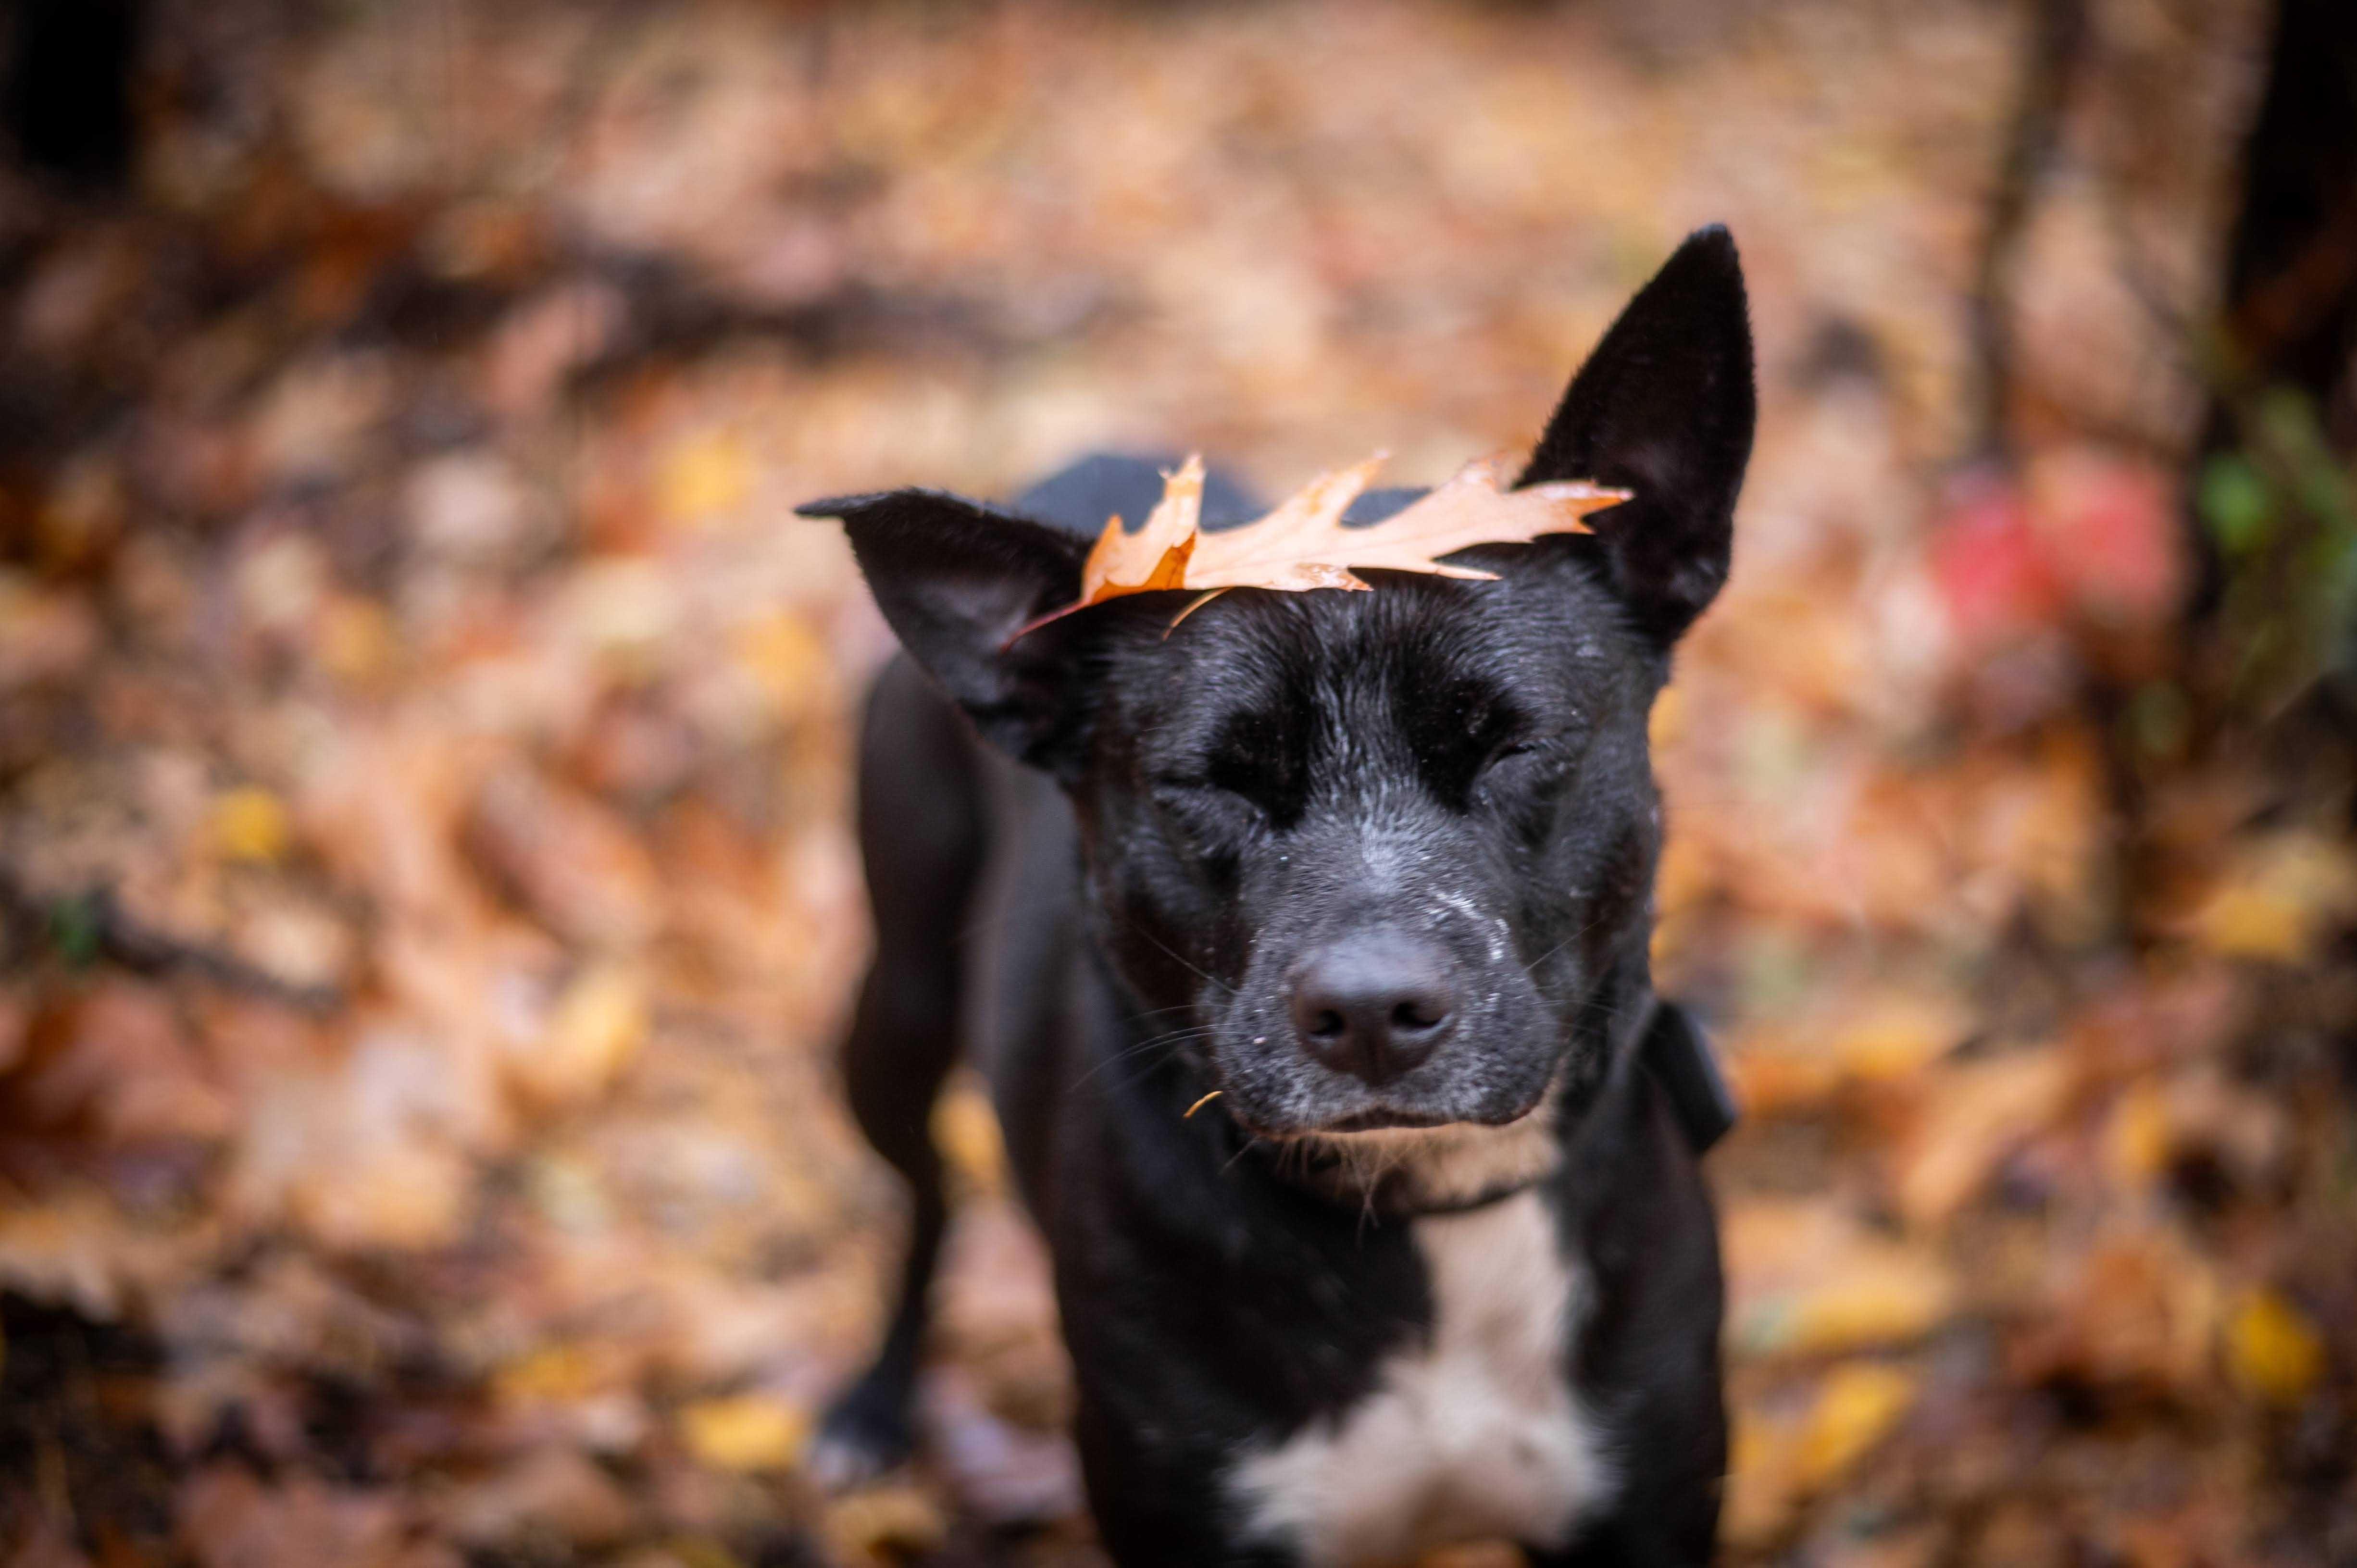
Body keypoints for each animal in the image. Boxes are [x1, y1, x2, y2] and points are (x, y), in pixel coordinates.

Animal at [806, 226, 1753, 1556]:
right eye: (1212, 781)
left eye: (1514, 745)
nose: (1370, 1013)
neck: (1430, 1218)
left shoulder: (1647, 1494)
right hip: (892, 1010)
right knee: (923, 1198)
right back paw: (876, 1404)